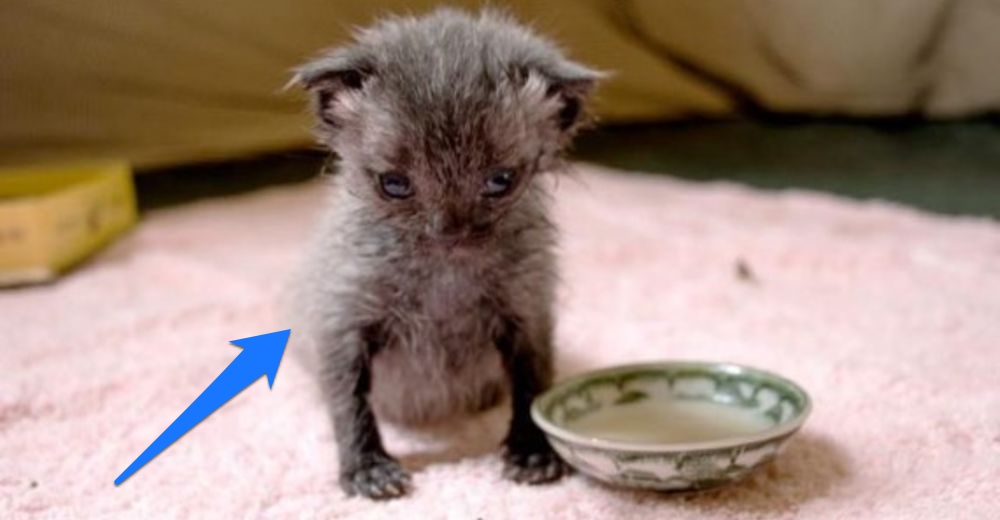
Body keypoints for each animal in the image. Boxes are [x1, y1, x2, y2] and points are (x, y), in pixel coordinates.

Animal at [290, 7, 600, 496]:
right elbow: (348, 398)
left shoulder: (528, 309)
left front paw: (532, 451)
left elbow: (533, 381)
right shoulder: (342, 316)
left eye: (501, 181)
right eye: (394, 185)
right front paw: (367, 467)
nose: (450, 232)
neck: (443, 274)